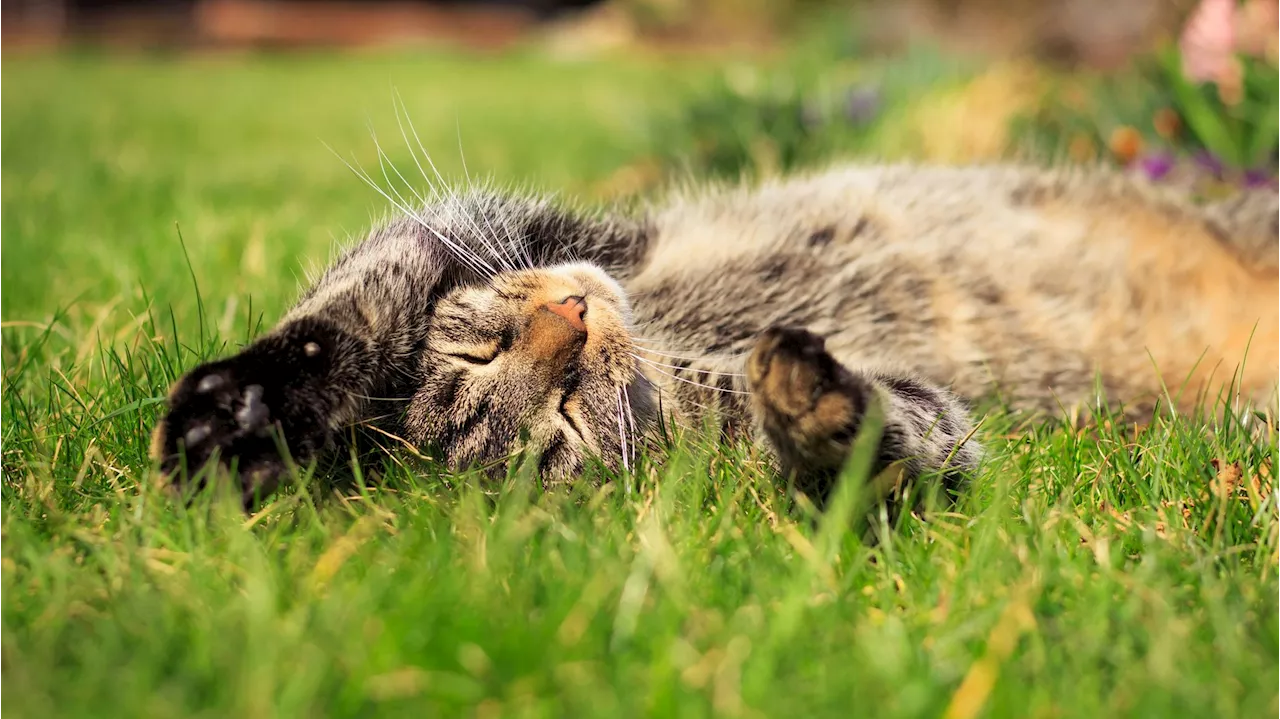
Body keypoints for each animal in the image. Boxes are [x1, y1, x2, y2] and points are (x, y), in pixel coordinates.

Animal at [149, 161, 1280, 504]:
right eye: (561, 424)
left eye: (477, 352)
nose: (570, 318)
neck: (670, 344)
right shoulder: (939, 416)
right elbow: (903, 435)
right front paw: (820, 413)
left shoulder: (467, 225)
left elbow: (345, 315)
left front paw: (241, 405)